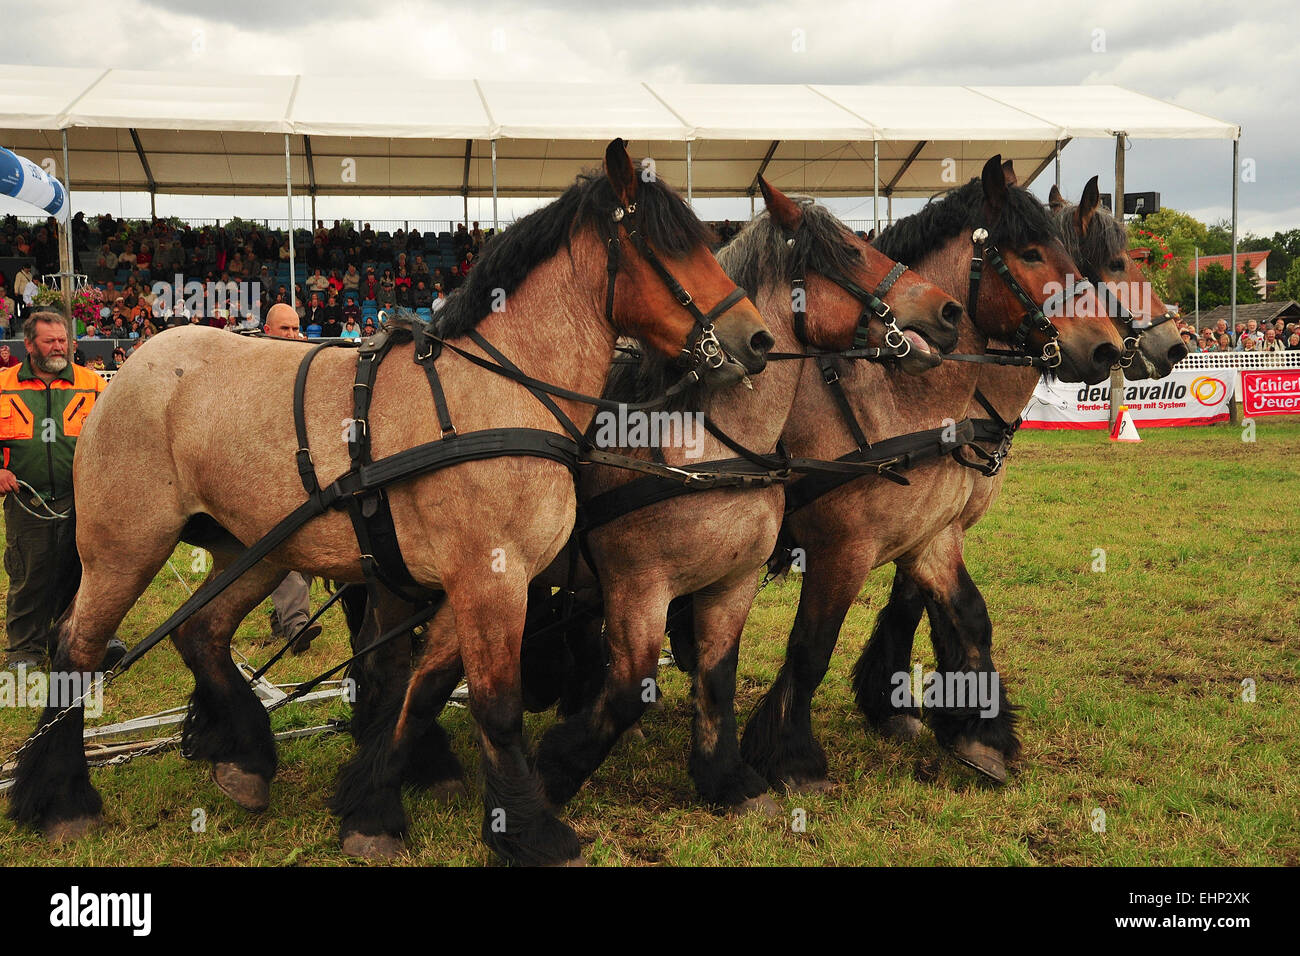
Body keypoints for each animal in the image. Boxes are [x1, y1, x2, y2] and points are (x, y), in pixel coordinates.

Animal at [7, 138, 774, 867]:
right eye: (667, 245)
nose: (758, 339)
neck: (500, 389)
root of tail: (127, 367)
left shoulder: (472, 583)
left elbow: (423, 689)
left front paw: (372, 810)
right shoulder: (490, 578)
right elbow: (496, 705)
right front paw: (531, 831)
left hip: (251, 548)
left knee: (201, 633)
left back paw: (246, 758)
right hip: (126, 546)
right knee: (76, 647)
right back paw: (63, 799)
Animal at [330, 177, 964, 850]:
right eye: (848, 253)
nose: (947, 312)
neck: (704, 443)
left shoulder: (732, 581)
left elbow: (716, 677)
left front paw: (727, 781)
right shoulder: (639, 584)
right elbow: (630, 685)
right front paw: (552, 773)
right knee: (388, 662)